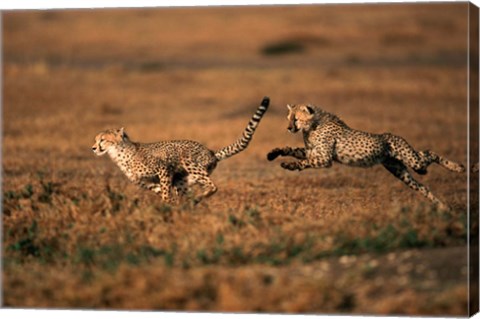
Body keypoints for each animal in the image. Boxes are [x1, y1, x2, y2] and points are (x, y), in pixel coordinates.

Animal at [93, 96, 270, 204]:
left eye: (103, 139)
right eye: (95, 139)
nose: (93, 148)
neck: (120, 153)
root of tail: (211, 152)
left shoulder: (163, 168)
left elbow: (165, 193)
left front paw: (166, 207)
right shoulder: (149, 183)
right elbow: (163, 192)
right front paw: (170, 206)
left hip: (189, 162)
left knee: (213, 187)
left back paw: (197, 199)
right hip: (183, 181)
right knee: (189, 192)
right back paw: (189, 204)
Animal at [266, 104, 464, 211]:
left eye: (296, 119)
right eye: (288, 118)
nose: (289, 128)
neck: (312, 126)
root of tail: (393, 135)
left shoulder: (324, 158)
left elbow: (304, 161)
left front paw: (290, 165)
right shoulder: (314, 152)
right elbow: (293, 149)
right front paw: (274, 153)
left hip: (413, 161)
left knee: (430, 153)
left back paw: (458, 167)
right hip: (399, 171)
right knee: (422, 186)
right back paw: (442, 206)